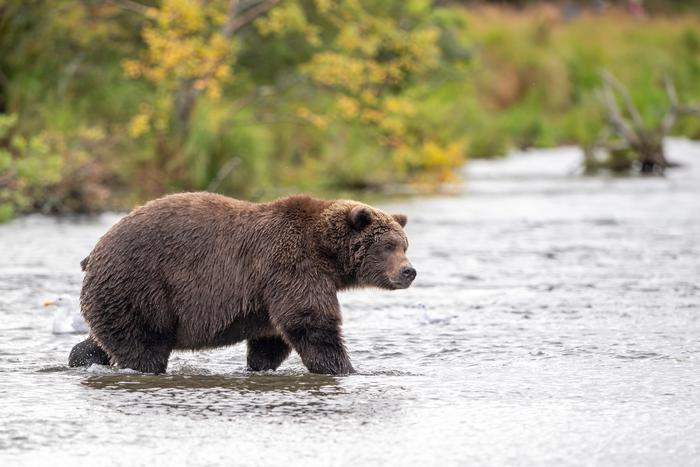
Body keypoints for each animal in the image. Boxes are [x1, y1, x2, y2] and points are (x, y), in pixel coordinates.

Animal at [68, 192, 415, 375]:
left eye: (404, 244)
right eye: (388, 246)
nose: (409, 271)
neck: (326, 253)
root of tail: (95, 250)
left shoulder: (269, 292)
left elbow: (271, 339)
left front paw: (258, 367)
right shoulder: (291, 267)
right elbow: (311, 322)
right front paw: (344, 367)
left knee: (103, 338)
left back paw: (80, 357)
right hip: (140, 285)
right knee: (143, 346)